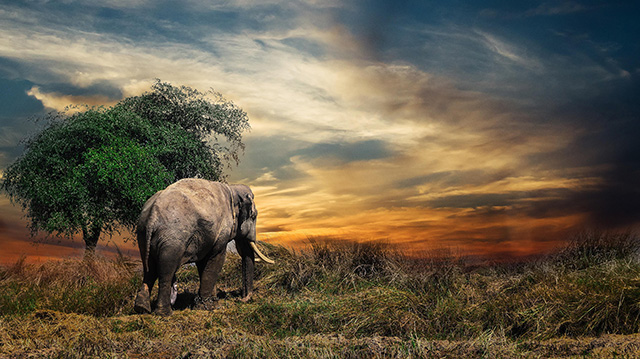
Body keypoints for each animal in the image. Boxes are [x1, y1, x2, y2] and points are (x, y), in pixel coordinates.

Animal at [134, 179, 274, 316]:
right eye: (254, 216)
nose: (241, 299)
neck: (232, 188)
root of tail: (152, 215)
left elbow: (203, 263)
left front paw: (211, 303)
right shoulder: (221, 232)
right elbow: (216, 259)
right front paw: (206, 307)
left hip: (143, 234)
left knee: (149, 268)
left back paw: (142, 309)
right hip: (172, 238)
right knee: (166, 271)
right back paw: (164, 313)